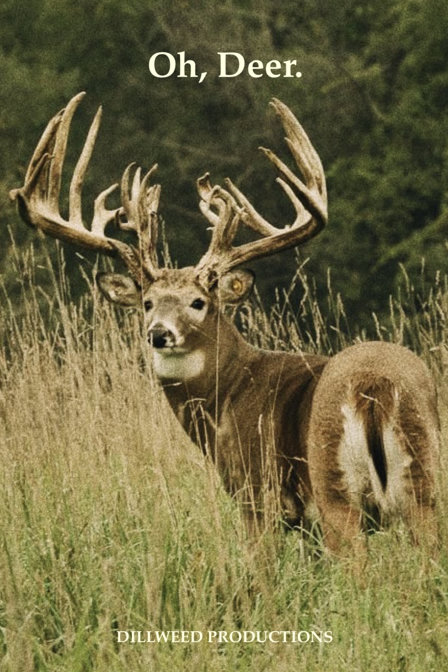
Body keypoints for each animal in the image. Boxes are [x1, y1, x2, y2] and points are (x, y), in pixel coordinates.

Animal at [9, 92, 440, 561]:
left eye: (199, 302)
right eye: (147, 302)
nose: (159, 333)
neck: (229, 393)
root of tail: (373, 387)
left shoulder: (256, 495)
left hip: (335, 490)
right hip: (424, 482)